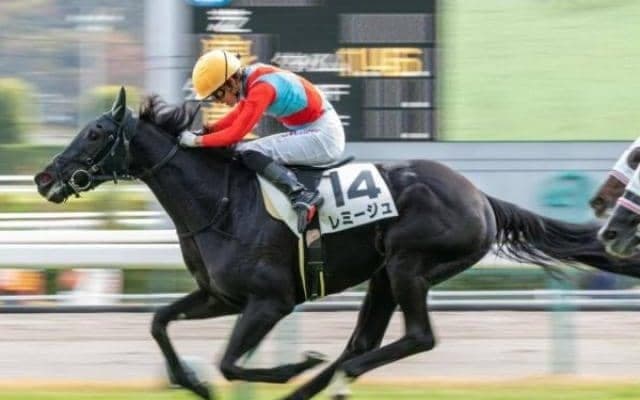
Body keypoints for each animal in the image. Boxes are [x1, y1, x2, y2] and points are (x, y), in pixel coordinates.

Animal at [34, 88, 640, 400]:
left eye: (94, 133)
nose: (43, 178)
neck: (220, 205)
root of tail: (479, 197)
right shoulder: (220, 297)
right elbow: (159, 322)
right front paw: (191, 382)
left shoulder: (270, 301)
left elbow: (232, 362)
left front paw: (286, 367)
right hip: (383, 275)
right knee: (361, 342)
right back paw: (320, 385)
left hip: (409, 265)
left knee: (414, 338)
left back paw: (329, 380)